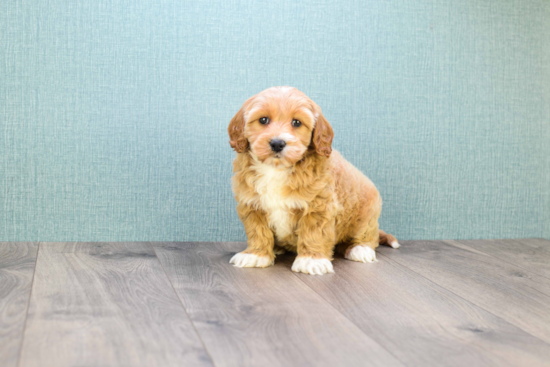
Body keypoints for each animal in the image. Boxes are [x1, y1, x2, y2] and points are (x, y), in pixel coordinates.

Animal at [229, 87, 402, 276]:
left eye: (297, 123)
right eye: (263, 120)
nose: (277, 143)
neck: (277, 169)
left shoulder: (319, 205)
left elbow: (314, 232)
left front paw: (311, 260)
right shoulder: (252, 204)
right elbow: (257, 231)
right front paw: (255, 254)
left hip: (367, 213)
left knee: (368, 236)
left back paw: (360, 249)